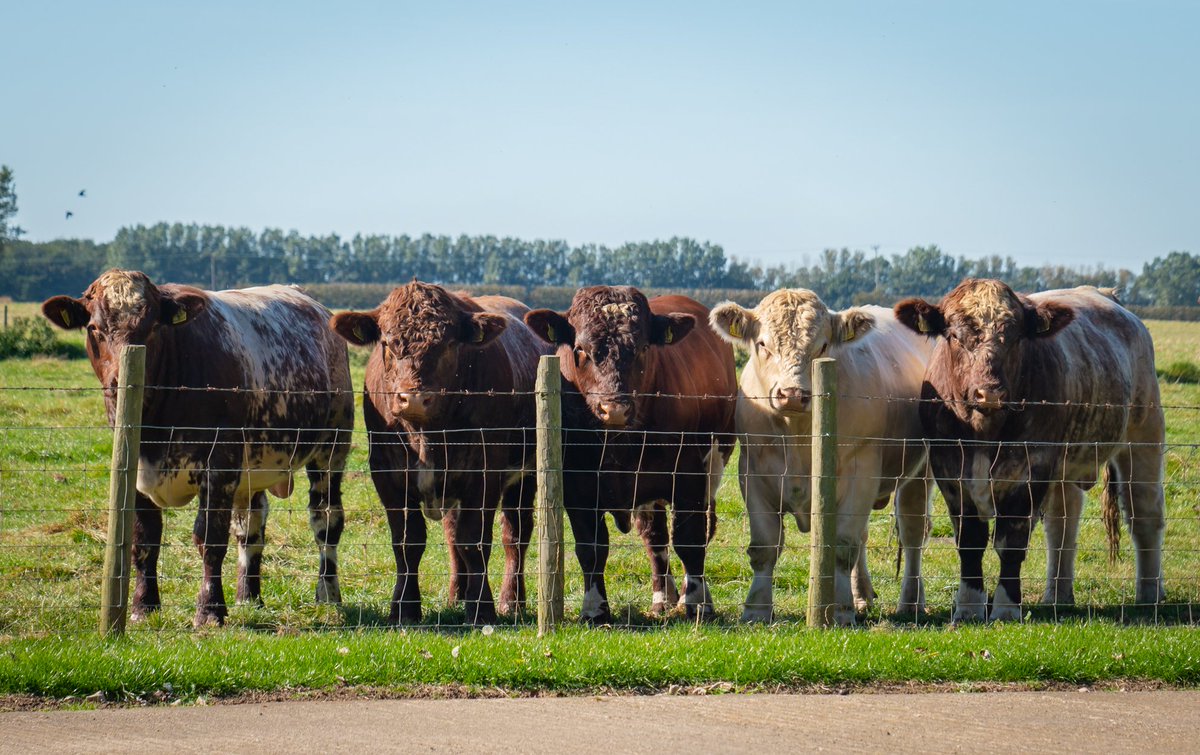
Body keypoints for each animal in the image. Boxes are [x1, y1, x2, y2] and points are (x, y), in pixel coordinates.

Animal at [42, 270, 353, 627]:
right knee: (250, 527)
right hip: (254, 467)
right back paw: (249, 597)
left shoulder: (220, 465)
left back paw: (328, 595)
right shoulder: (133, 468)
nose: (122, 382)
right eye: (94, 327)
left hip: (331, 449)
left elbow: (209, 538)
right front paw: (143, 607)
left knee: (326, 520)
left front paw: (210, 610)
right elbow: (144, 540)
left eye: (152, 325)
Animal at [330, 281, 550, 626]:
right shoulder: (387, 473)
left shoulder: (485, 472)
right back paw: (456, 594)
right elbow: (408, 541)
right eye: (388, 343)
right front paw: (404, 608)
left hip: (524, 475)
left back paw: (511, 600)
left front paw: (481, 608)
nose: (414, 399)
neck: (426, 436)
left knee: (514, 533)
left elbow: (474, 540)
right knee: (451, 534)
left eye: (447, 344)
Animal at [525, 286, 737, 623]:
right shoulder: (578, 486)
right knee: (655, 539)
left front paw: (697, 604)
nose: (614, 409)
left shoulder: (690, 477)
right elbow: (591, 548)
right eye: (581, 349)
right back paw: (662, 599)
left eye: (642, 349)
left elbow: (690, 541)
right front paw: (594, 609)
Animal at [710, 290, 934, 625]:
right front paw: (756, 610)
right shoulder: (753, 475)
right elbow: (764, 547)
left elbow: (842, 547)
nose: (792, 394)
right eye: (762, 343)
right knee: (866, 536)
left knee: (912, 532)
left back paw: (911, 602)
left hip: (922, 473)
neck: (798, 436)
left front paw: (840, 610)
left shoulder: (861, 473)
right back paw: (862, 595)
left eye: (823, 346)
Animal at [895, 280, 1166, 621]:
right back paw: (1058, 595)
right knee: (1063, 525)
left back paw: (1149, 595)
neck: (984, 434)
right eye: (954, 335)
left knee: (1145, 517)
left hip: (1143, 436)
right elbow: (970, 542)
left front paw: (1006, 607)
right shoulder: (950, 473)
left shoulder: (1030, 470)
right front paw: (969, 606)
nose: (989, 393)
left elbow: (1011, 543)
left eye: (1016, 337)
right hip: (1066, 467)